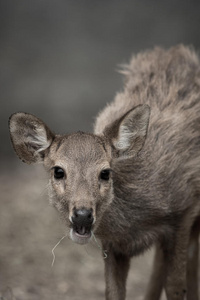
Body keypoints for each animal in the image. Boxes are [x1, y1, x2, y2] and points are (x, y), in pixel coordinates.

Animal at [8, 45, 200, 300]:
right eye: (58, 171)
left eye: (105, 172)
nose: (82, 215)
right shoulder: (113, 245)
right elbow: (113, 291)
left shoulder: (185, 210)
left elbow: (177, 285)